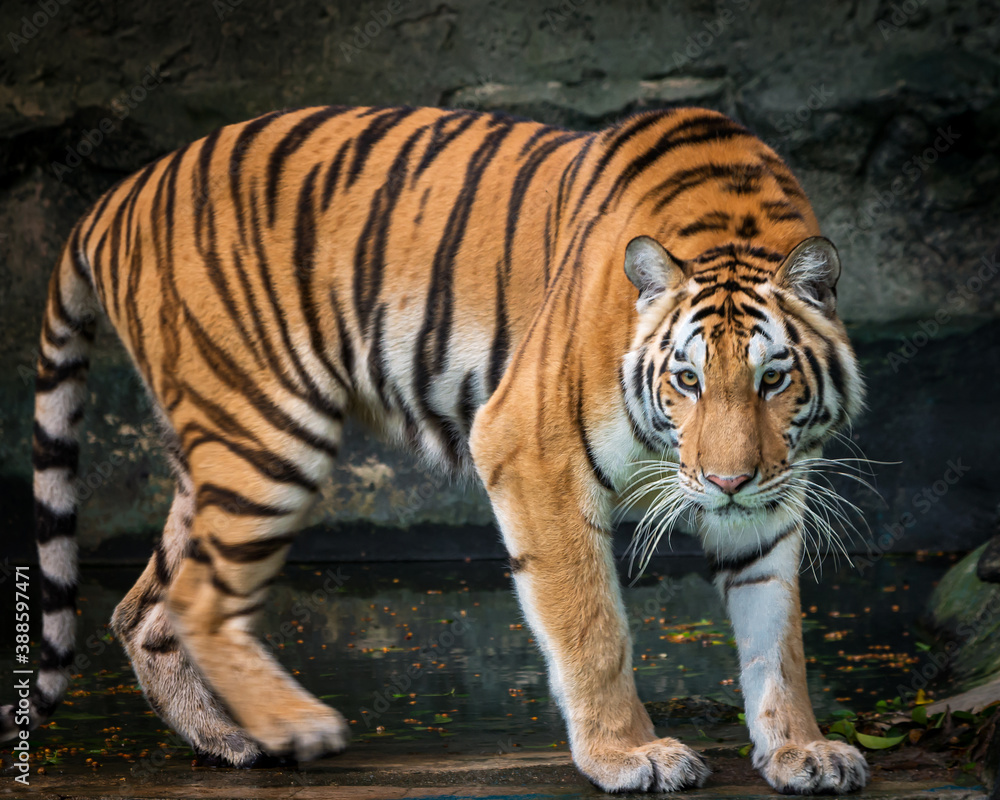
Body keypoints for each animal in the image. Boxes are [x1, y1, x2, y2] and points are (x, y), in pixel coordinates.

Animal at [2, 104, 868, 793]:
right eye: (686, 379)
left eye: (773, 379)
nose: (725, 481)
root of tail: (117, 196)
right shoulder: (531, 449)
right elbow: (593, 626)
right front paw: (629, 756)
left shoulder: (771, 497)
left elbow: (776, 633)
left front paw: (801, 750)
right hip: (267, 430)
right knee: (192, 599)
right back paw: (291, 728)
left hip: (216, 449)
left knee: (143, 607)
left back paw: (232, 740)